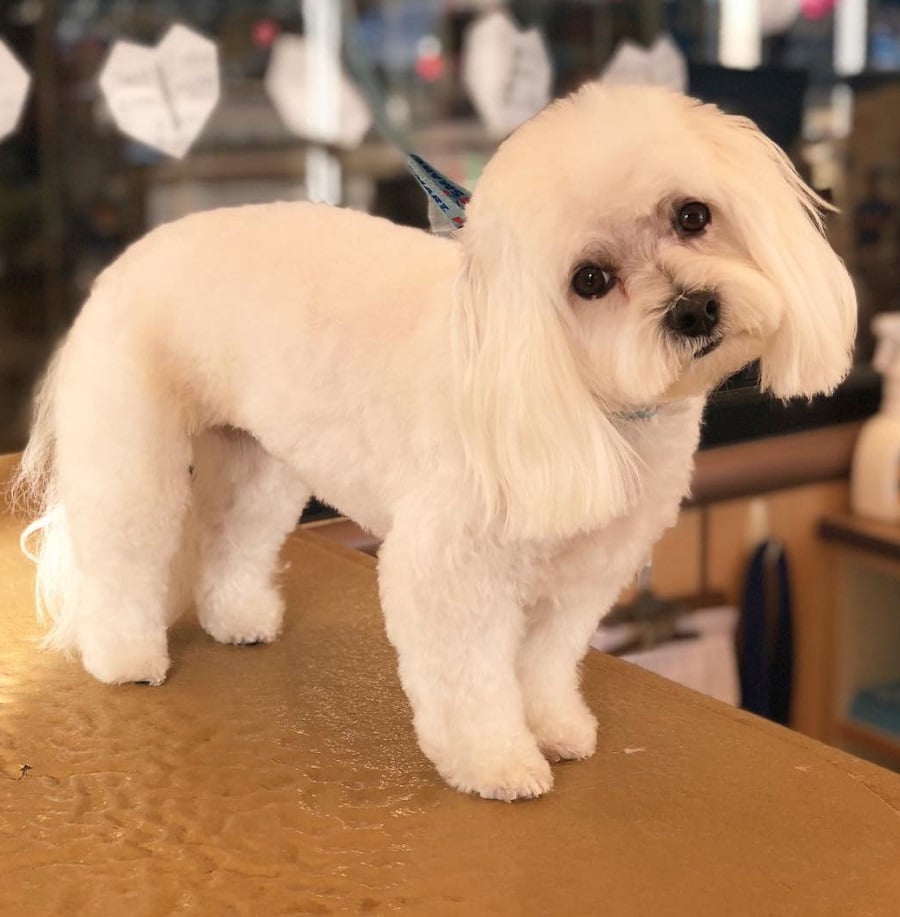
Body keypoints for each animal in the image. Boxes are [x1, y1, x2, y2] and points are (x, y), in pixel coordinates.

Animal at [14, 87, 856, 800]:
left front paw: (554, 727)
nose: (693, 309)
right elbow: (471, 678)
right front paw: (498, 761)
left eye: (692, 215)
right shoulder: (452, 566)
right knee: (122, 557)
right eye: (589, 279)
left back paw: (239, 616)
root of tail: (127, 257)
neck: (593, 405)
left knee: (231, 535)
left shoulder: (584, 573)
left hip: (258, 463)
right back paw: (124, 656)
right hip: (135, 452)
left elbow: (545, 662)